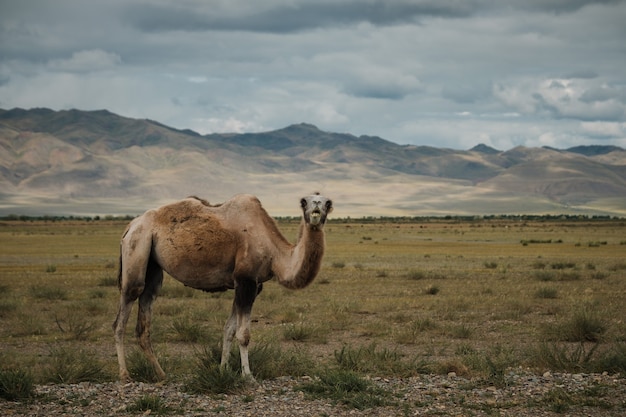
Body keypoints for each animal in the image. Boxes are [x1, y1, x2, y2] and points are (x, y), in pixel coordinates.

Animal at [112, 192, 332, 380]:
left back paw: (161, 373)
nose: (316, 205)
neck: (274, 253)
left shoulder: (251, 286)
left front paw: (223, 370)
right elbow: (243, 334)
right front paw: (248, 376)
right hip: (137, 245)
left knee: (146, 309)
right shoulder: (245, 280)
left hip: (153, 265)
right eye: (304, 201)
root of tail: (131, 225)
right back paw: (124, 374)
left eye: (328, 202)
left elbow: (229, 330)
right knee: (125, 308)